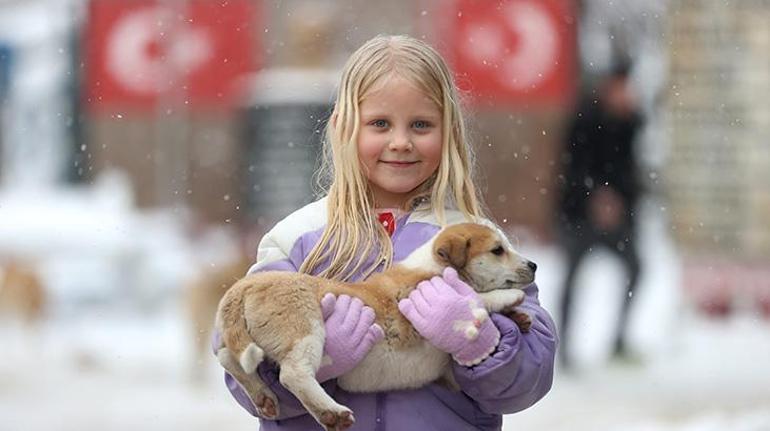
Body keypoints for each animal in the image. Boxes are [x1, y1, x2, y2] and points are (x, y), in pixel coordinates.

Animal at [213, 223, 532, 431]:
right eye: (497, 250)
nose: (534, 265)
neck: (434, 265)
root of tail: (244, 286)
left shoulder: (448, 373)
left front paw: (518, 318)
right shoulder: (416, 304)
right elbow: (474, 298)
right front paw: (508, 298)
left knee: (228, 358)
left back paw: (263, 396)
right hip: (305, 328)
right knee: (293, 375)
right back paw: (331, 413)